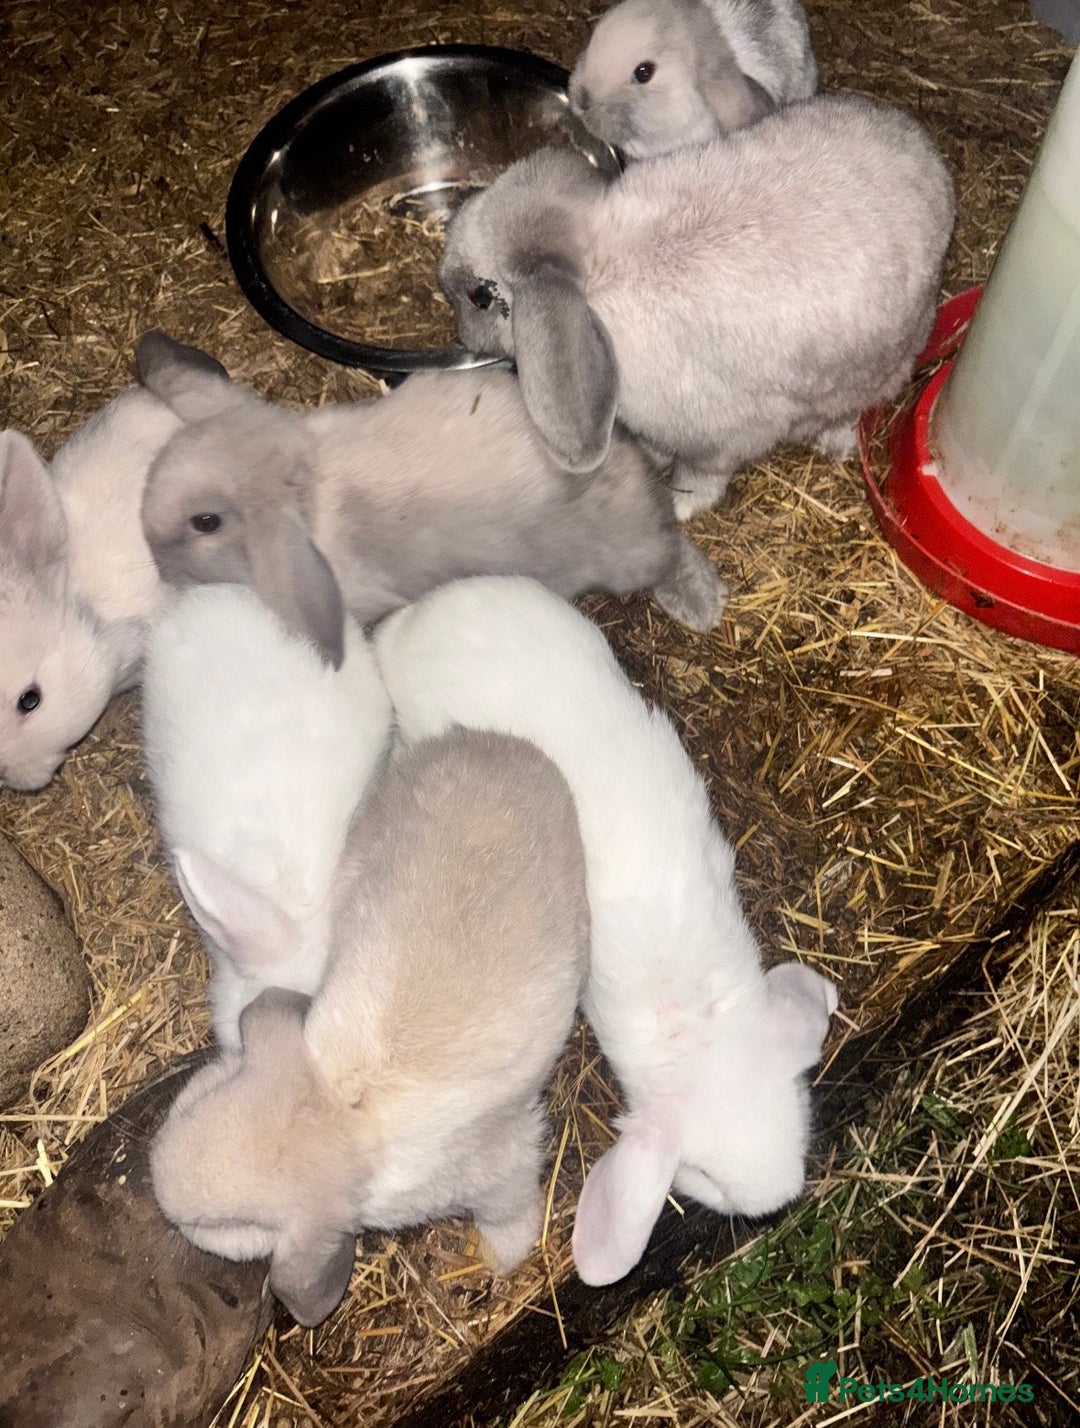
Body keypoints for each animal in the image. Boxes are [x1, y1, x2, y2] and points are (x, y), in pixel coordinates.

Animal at [135, 329, 726, 669]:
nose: (158, 568)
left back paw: (699, 601)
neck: (306, 489)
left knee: (671, 554)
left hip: (626, 559)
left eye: (205, 522)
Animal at [150, 726, 590, 1327]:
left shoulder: (501, 1162)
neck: (334, 1113)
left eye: (227, 1224)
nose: (156, 1181)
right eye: (194, 1104)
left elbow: (508, 1205)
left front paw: (504, 1258)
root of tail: (493, 744)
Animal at [439, 93, 955, 518]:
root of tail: (930, 159)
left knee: (855, 406)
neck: (597, 270)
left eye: (480, 297)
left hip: (885, 360)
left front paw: (678, 506)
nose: (458, 326)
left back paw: (835, 441)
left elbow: (699, 477)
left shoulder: (716, 440)